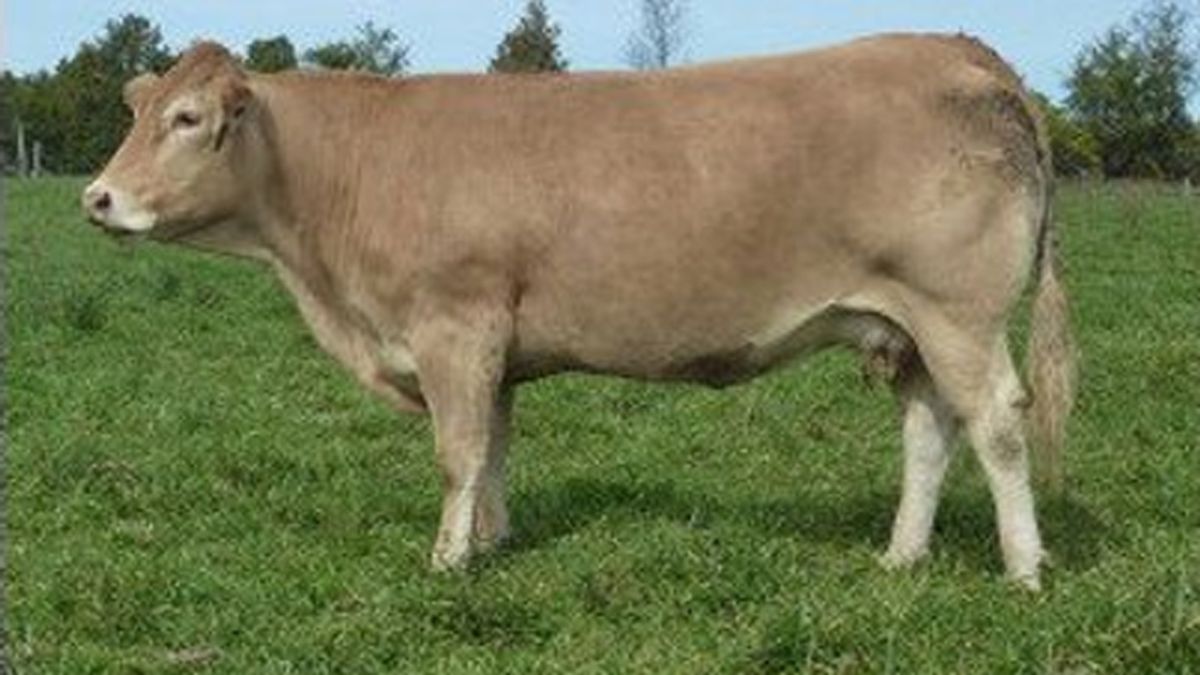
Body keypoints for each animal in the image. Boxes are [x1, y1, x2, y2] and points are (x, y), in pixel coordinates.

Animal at [83, 34, 1075, 590]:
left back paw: (1025, 567)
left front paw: (446, 565)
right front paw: (492, 541)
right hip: (907, 326)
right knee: (930, 432)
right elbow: (493, 448)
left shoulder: (453, 325)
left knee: (996, 425)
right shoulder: (493, 346)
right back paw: (901, 557)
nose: (97, 198)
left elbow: (457, 451)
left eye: (186, 117)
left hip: (957, 313)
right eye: (137, 110)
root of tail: (959, 47)